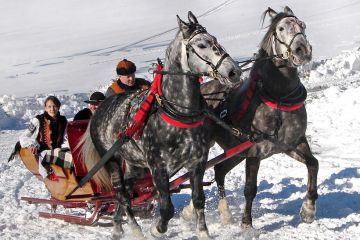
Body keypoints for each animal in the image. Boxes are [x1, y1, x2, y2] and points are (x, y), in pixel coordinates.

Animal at [81, 10, 242, 238]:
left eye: (216, 39)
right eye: (202, 45)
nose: (234, 72)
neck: (179, 113)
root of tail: (101, 108)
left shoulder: (197, 162)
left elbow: (198, 199)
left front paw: (203, 232)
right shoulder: (158, 167)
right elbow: (166, 208)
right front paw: (156, 229)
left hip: (135, 165)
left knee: (127, 192)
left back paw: (117, 226)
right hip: (113, 161)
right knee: (121, 195)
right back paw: (135, 229)